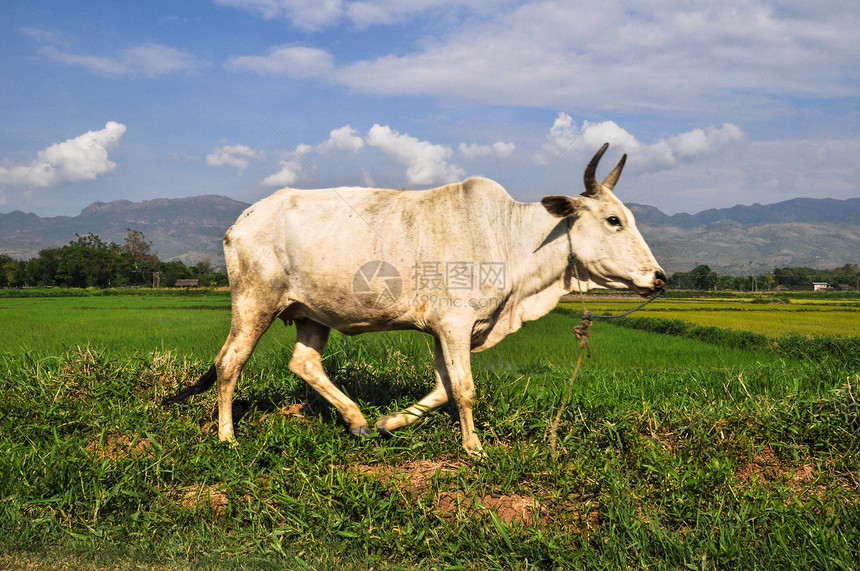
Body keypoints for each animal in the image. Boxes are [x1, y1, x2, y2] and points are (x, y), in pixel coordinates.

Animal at [166, 144, 664, 456]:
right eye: (614, 220)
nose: (658, 278)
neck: (512, 237)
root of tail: (244, 219)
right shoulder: (456, 324)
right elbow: (464, 389)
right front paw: (474, 448)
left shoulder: (442, 330)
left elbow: (443, 388)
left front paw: (390, 423)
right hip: (255, 302)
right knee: (230, 363)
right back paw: (227, 437)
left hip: (312, 313)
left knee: (303, 363)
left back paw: (358, 421)